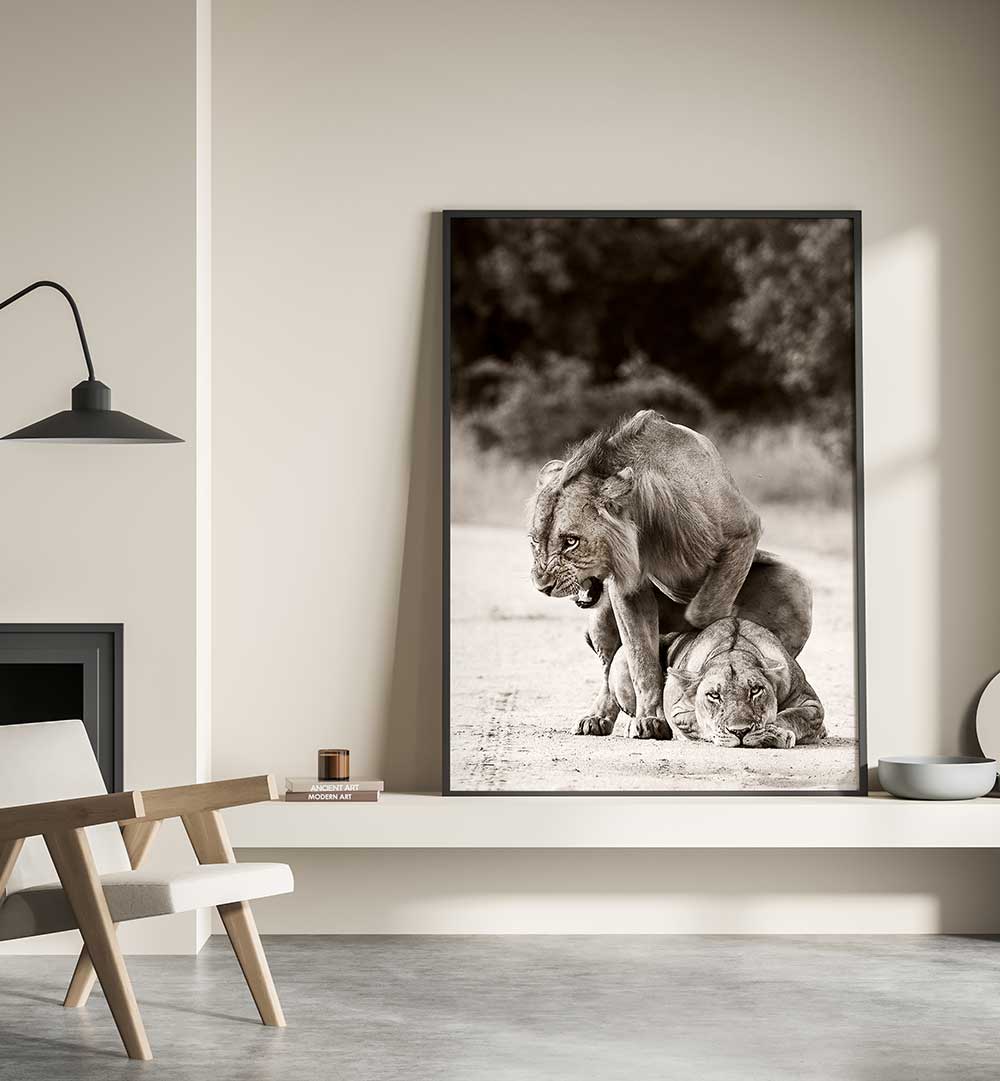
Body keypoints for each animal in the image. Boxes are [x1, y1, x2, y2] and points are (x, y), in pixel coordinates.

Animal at [528, 410, 812, 740]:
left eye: (571, 541)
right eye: (534, 541)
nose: (542, 586)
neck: (644, 517)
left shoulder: (743, 532)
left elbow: (704, 613)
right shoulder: (628, 588)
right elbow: (641, 658)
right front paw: (651, 719)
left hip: (793, 586)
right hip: (600, 617)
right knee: (610, 667)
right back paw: (597, 717)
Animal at [608, 617, 826, 747]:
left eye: (755, 690)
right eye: (714, 695)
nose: (740, 731)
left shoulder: (811, 703)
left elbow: (794, 715)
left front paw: (775, 732)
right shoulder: (678, 710)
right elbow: (699, 722)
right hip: (621, 657)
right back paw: (645, 724)